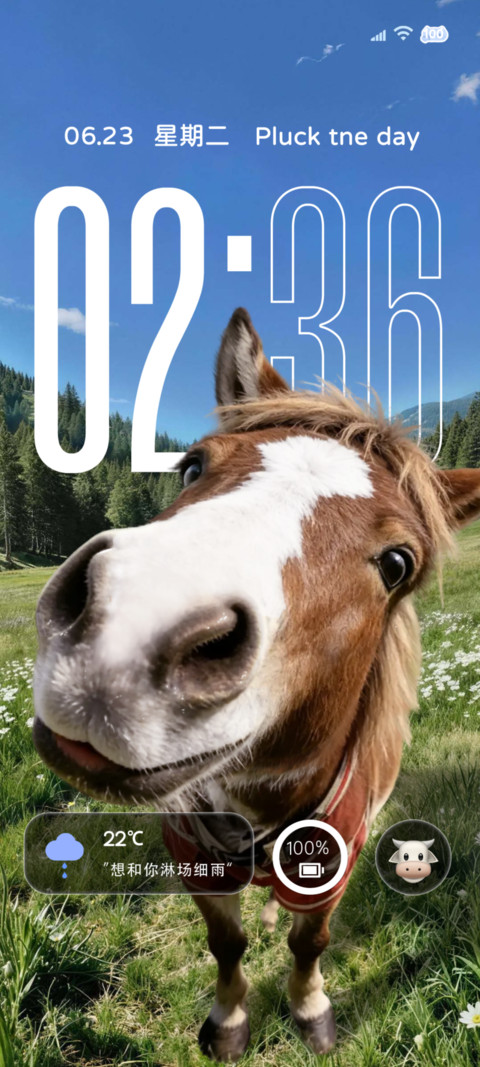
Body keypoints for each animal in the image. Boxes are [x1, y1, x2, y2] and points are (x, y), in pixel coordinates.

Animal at [33, 308, 480, 1061]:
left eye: (399, 562)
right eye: (192, 464)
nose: (129, 628)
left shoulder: (338, 860)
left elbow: (310, 940)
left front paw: (310, 1009)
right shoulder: (196, 862)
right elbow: (228, 943)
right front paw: (230, 1020)